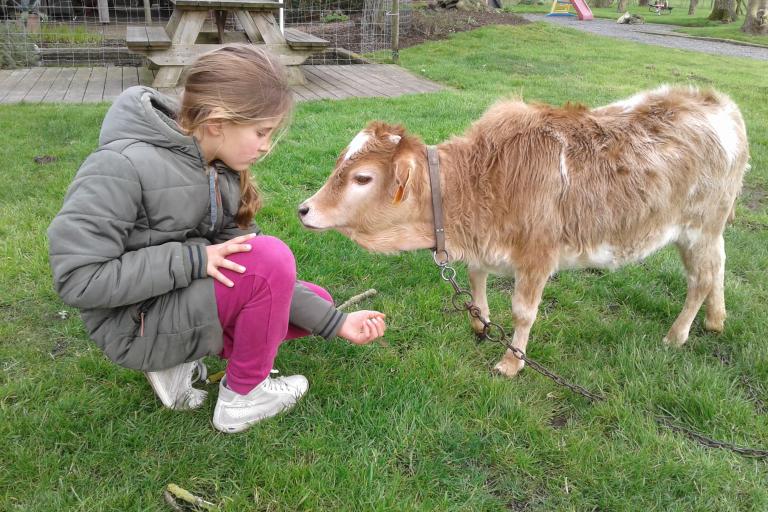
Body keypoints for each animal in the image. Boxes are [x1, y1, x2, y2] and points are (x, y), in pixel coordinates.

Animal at [298, 87, 752, 376]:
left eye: (362, 178)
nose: (304, 209)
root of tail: (719, 103)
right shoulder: (482, 250)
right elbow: (476, 286)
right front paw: (480, 325)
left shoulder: (537, 255)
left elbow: (522, 311)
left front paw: (512, 361)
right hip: (708, 231)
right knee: (718, 267)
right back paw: (716, 320)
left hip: (700, 226)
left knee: (700, 279)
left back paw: (677, 335)